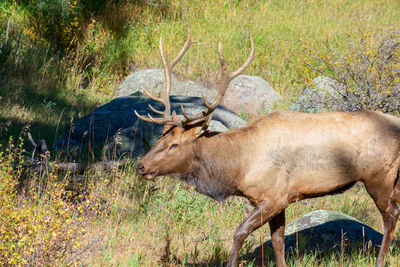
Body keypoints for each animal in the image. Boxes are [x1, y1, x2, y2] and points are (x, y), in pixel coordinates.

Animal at [134, 29, 400, 267]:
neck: (238, 167)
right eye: (159, 139)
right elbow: (278, 242)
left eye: (175, 144)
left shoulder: (273, 197)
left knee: (391, 215)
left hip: (379, 177)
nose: (141, 166)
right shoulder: (280, 199)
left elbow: (240, 233)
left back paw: (380, 261)